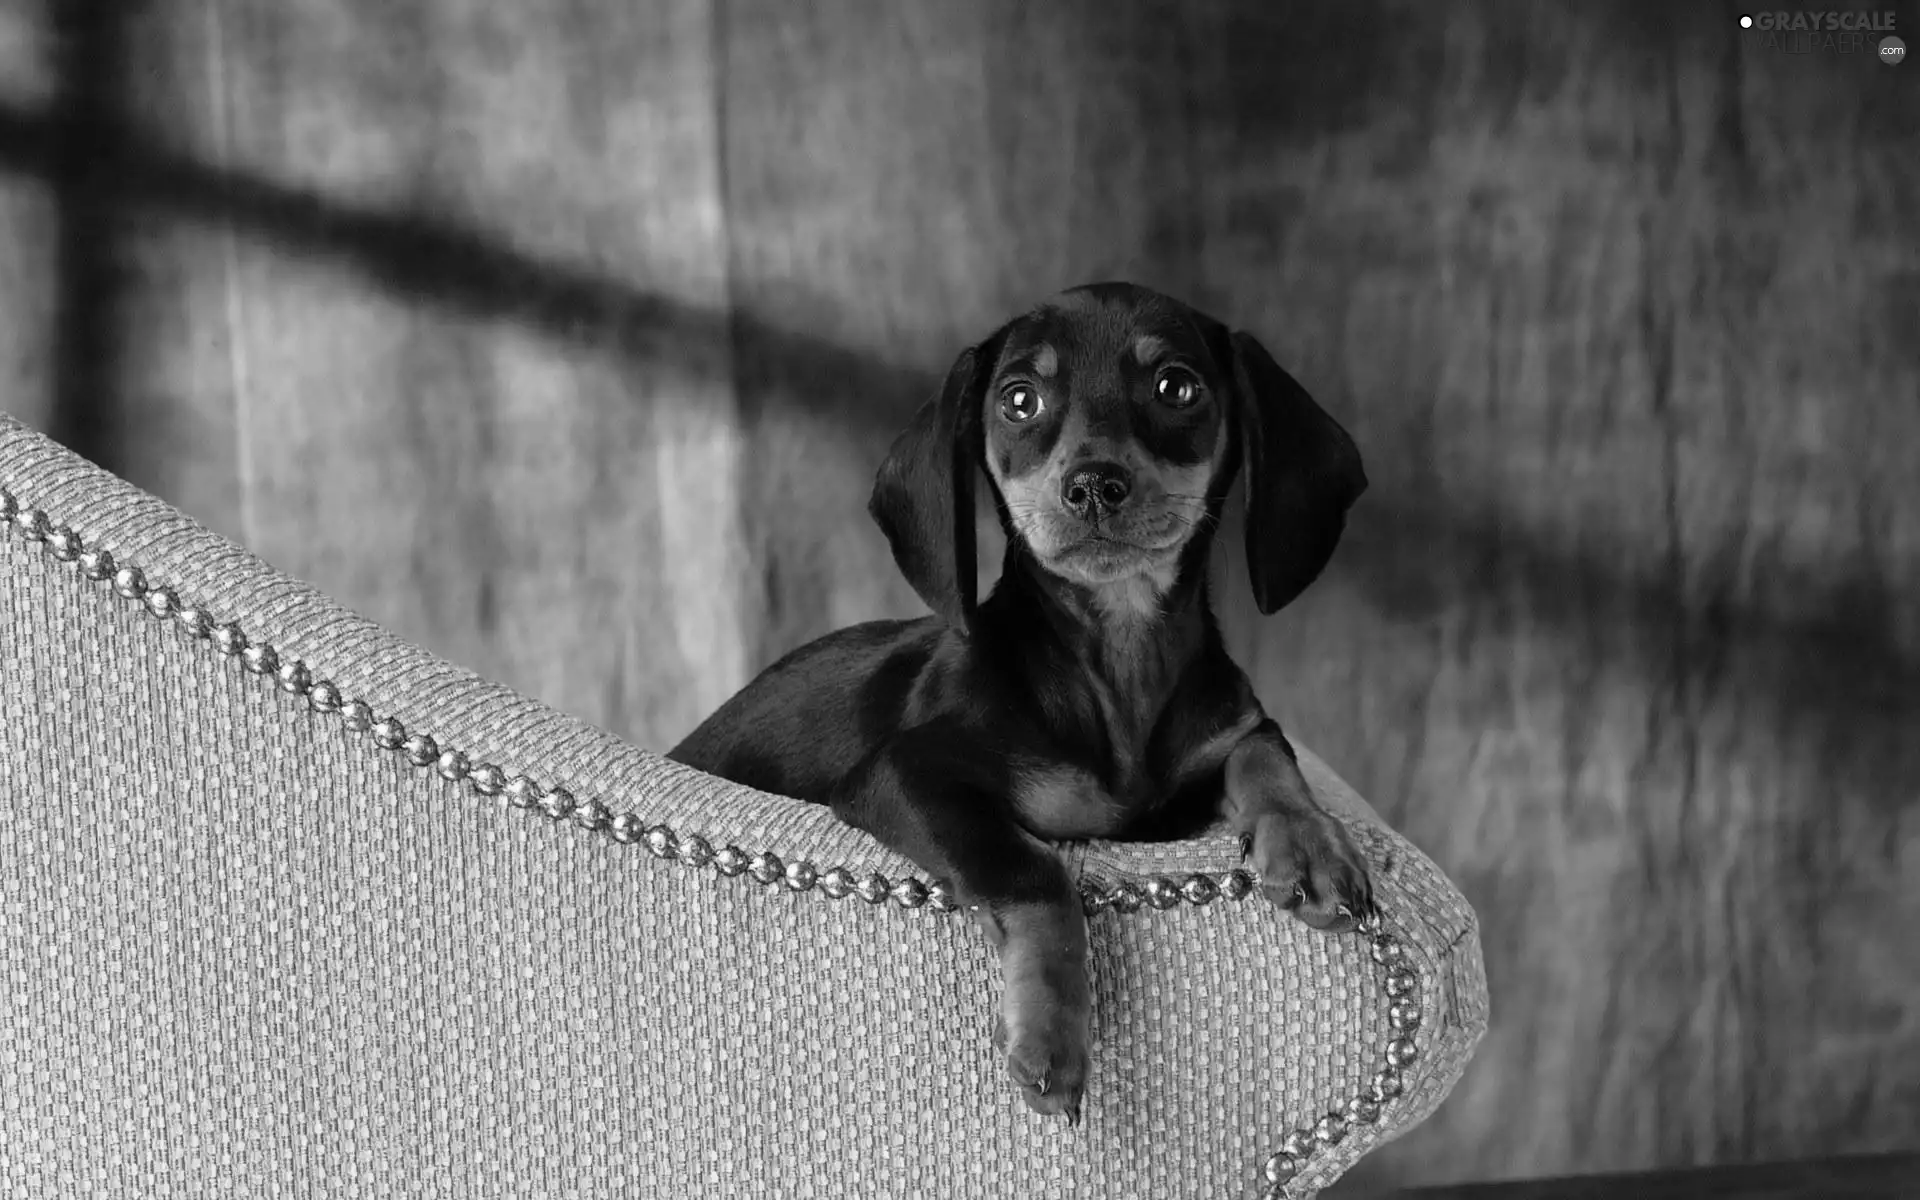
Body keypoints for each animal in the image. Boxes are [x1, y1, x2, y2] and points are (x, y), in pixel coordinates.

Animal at [668, 280, 1374, 1121]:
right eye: (1019, 400)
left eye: (1177, 387)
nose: (1094, 485)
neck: (1115, 660)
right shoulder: (904, 772)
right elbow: (1032, 871)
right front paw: (1052, 1037)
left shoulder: (1220, 741)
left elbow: (1264, 747)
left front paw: (1309, 841)